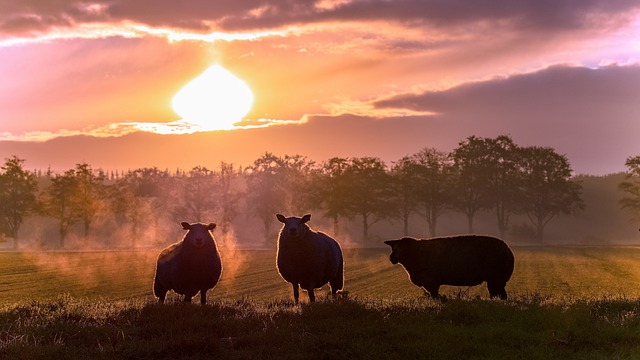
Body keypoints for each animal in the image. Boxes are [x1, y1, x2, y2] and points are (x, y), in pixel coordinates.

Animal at [384, 235, 516, 300]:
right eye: (393, 248)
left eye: (401, 248)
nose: (391, 258)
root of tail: (508, 251)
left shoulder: (431, 281)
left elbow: (434, 296)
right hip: (495, 280)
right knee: (498, 294)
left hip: (497, 278)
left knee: (501, 295)